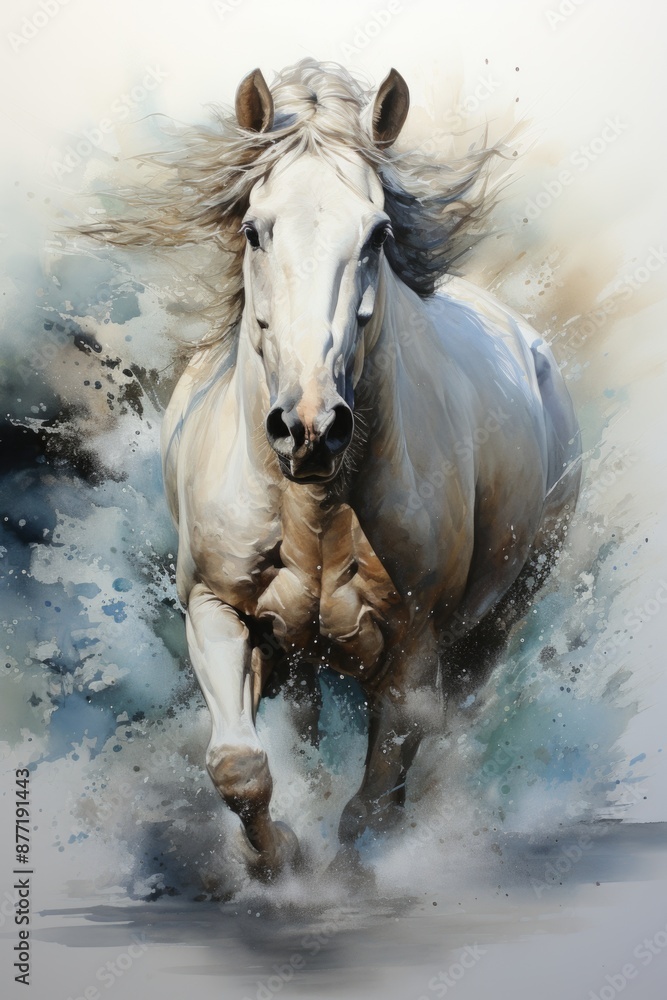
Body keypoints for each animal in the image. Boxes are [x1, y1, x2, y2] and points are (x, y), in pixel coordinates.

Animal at [84, 60, 581, 879]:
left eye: (376, 234)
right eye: (254, 229)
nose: (309, 428)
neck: (315, 506)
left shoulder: (415, 647)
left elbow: (377, 797)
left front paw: (345, 872)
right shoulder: (217, 611)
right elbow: (238, 765)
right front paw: (274, 862)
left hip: (498, 619)